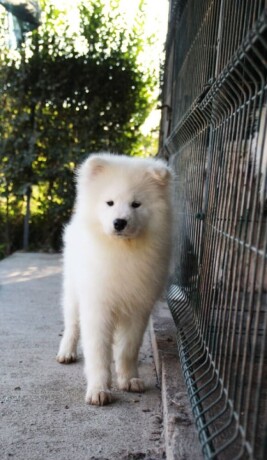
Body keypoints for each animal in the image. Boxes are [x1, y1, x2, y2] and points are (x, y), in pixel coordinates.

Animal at [56, 153, 174, 404]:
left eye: (136, 204)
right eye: (109, 203)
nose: (120, 222)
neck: (122, 251)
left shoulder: (138, 307)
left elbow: (127, 348)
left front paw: (129, 379)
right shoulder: (97, 306)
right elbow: (98, 352)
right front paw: (99, 390)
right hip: (73, 290)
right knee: (72, 324)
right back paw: (67, 352)